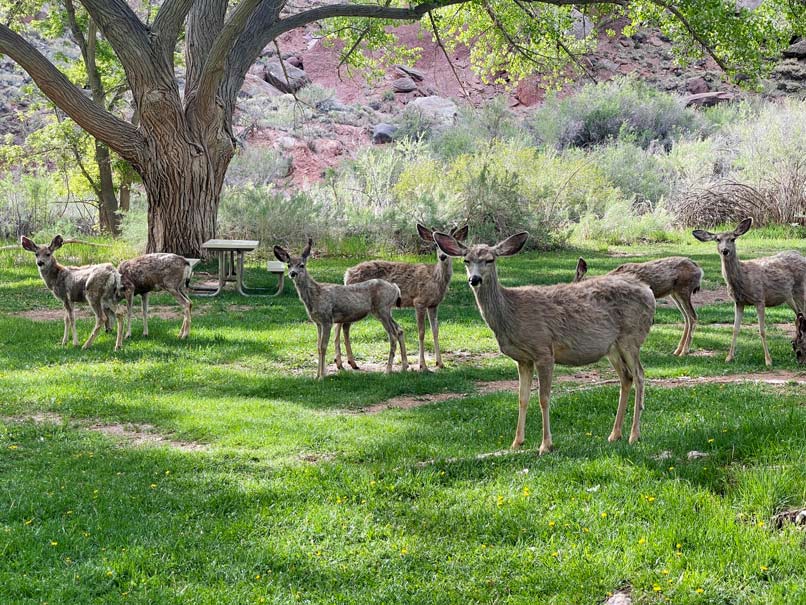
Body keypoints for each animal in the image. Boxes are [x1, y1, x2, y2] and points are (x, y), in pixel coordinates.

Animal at [274, 239, 410, 378]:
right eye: (289, 265)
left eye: (301, 265)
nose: (292, 273)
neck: (315, 295)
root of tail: (395, 288)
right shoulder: (317, 322)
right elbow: (318, 347)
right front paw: (316, 376)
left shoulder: (327, 319)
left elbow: (323, 346)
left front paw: (322, 376)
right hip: (386, 311)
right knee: (399, 330)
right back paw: (404, 367)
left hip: (382, 309)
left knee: (392, 335)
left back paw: (387, 371)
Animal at [338, 224, 470, 370]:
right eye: (436, 244)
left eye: (452, 242)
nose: (442, 256)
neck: (436, 278)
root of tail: (347, 274)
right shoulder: (419, 301)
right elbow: (421, 332)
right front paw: (422, 365)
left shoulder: (433, 305)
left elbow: (435, 331)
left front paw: (440, 363)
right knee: (343, 326)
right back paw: (346, 362)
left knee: (342, 325)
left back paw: (346, 362)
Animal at [436, 230, 656, 452]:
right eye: (466, 260)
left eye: (490, 260)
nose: (474, 279)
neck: (510, 313)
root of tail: (648, 291)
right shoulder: (523, 359)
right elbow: (522, 398)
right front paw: (517, 442)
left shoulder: (543, 350)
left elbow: (544, 398)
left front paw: (546, 445)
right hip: (612, 347)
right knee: (626, 377)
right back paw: (614, 434)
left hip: (631, 336)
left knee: (640, 375)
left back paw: (634, 435)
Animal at [572, 254, 704, 354]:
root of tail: (700, 270)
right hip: (674, 293)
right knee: (687, 317)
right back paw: (678, 350)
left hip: (683, 290)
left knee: (692, 316)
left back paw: (684, 351)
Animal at [696, 218, 806, 368]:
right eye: (717, 239)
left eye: (733, 239)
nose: (725, 250)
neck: (742, 277)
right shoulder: (738, 302)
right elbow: (735, 329)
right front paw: (729, 357)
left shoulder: (759, 298)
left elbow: (762, 330)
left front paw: (768, 360)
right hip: (790, 297)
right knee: (799, 317)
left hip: (801, 290)